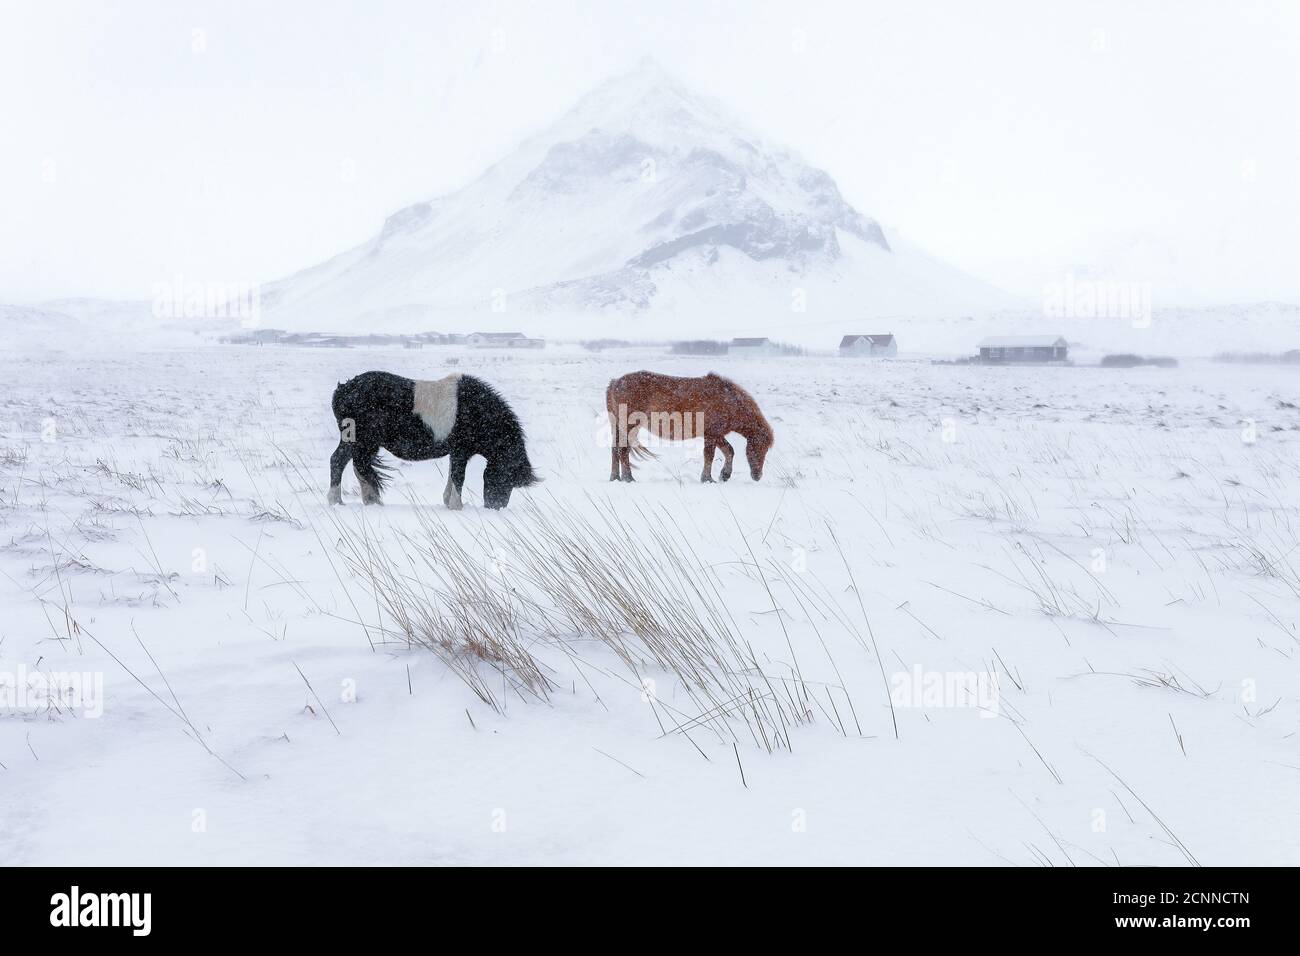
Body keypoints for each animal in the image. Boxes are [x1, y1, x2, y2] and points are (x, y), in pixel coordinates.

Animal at [332, 369, 540, 512]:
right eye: (505, 478)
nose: (495, 507)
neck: (476, 410)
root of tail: (343, 389)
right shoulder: (460, 452)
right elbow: (458, 477)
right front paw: (456, 506)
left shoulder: (456, 453)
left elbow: (452, 477)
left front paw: (448, 503)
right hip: (358, 441)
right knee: (338, 462)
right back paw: (336, 502)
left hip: (367, 445)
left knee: (359, 468)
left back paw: (370, 501)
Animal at [605, 369, 774, 481]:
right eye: (759, 448)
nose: (757, 476)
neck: (728, 401)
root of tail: (615, 383)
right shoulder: (712, 434)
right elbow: (711, 455)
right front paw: (709, 478)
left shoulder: (715, 435)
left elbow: (728, 451)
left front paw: (724, 475)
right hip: (629, 426)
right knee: (623, 450)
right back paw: (628, 478)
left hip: (619, 427)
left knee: (615, 450)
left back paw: (615, 477)